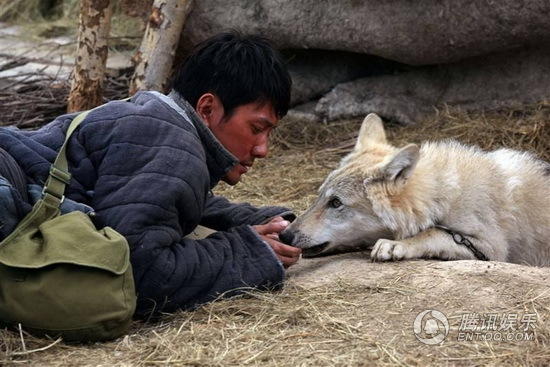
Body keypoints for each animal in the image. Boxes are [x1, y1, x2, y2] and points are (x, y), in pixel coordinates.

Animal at [280, 113, 550, 266]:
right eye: (320, 196)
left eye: (336, 203)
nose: (284, 235)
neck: (441, 196)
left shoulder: (491, 248)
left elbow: (432, 233)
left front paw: (395, 245)